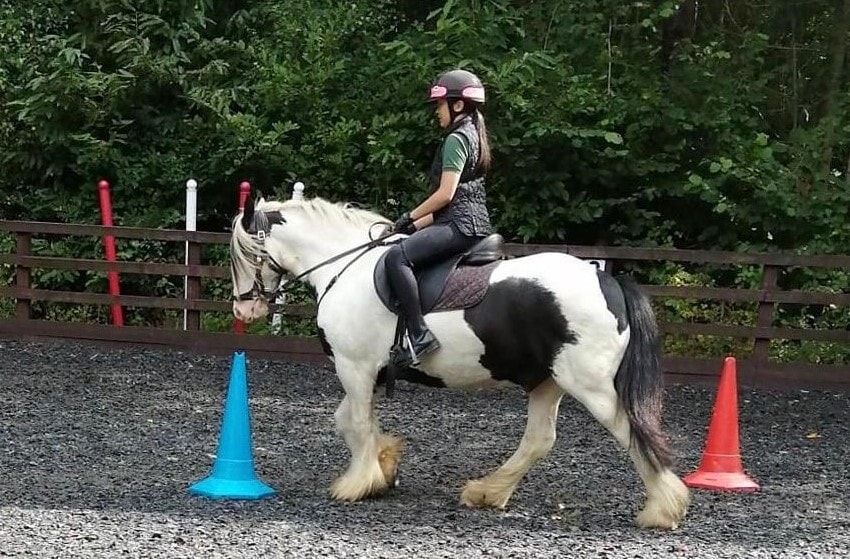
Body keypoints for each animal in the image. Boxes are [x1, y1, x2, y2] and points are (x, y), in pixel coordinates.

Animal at [230, 196, 688, 528]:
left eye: (245, 255)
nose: (244, 310)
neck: (345, 267)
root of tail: (607, 280)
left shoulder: (354, 367)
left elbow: (357, 423)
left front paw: (357, 483)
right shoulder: (368, 371)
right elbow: (350, 421)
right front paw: (385, 465)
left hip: (589, 385)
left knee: (632, 432)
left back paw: (663, 508)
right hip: (547, 381)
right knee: (540, 439)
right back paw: (487, 491)